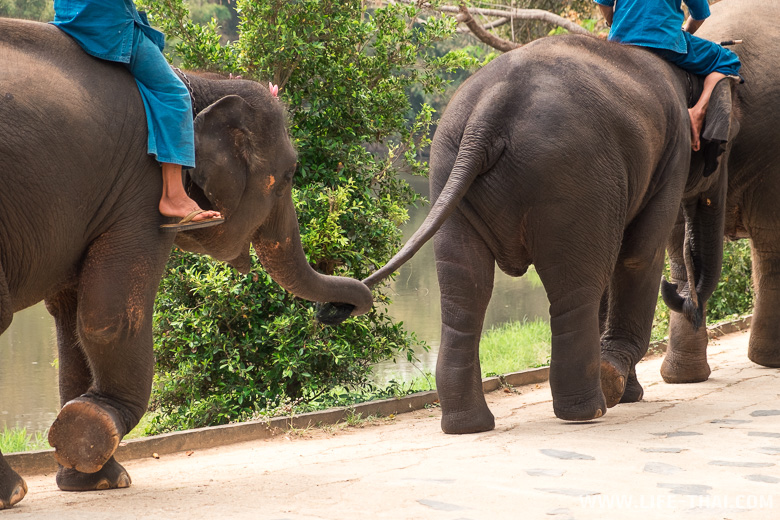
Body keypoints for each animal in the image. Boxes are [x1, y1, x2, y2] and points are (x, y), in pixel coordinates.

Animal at [0, 19, 372, 508]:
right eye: (290, 175)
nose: (338, 310)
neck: (194, 80)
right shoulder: (141, 190)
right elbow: (108, 318)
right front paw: (92, 432)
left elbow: (69, 321)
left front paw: (97, 477)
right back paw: (12, 491)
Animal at [356, 19, 740, 434]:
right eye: (723, 148)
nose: (680, 291)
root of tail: (488, 114)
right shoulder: (672, 156)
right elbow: (638, 255)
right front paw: (620, 385)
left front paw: (626, 391)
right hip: (573, 177)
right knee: (577, 287)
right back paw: (588, 410)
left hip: (447, 171)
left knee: (464, 292)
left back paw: (468, 425)